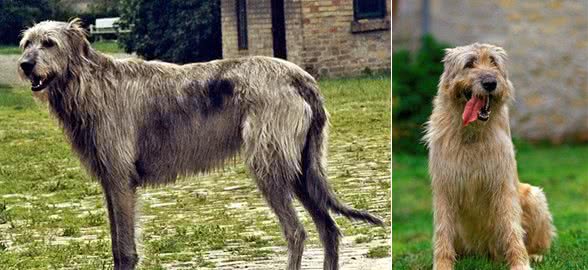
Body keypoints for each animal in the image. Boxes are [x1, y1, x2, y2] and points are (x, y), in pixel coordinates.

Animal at [17, 19, 382, 270]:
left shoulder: (121, 179)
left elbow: (125, 251)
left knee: (297, 232)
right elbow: (116, 245)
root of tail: (302, 77)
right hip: (301, 170)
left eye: (48, 43)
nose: (24, 65)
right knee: (329, 230)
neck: (88, 84)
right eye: (26, 43)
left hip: (270, 166)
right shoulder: (110, 181)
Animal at [422, 44, 556, 270]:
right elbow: (443, 231)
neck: (472, 134)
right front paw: (442, 265)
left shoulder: (503, 184)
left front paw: (520, 263)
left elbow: (512, 227)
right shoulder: (444, 186)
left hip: (534, 196)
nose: (490, 83)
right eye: (469, 63)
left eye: (493, 61)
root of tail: (488, 253)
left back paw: (535, 255)